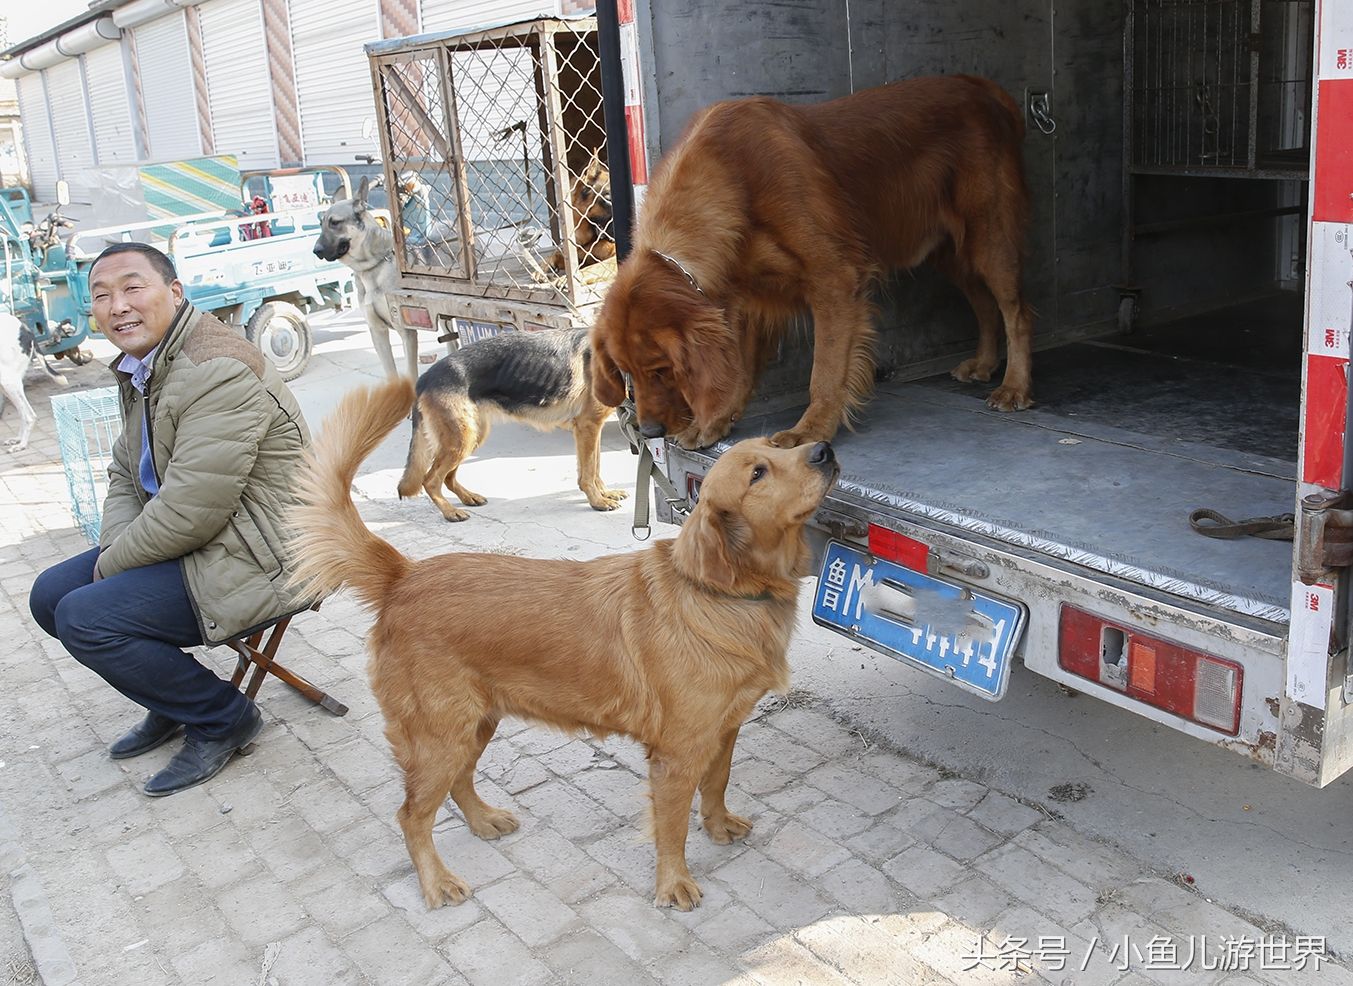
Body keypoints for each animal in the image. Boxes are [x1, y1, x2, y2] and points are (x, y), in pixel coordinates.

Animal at [311, 174, 416, 378]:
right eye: (321, 224)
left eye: (335, 222)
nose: (316, 251)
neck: (371, 268)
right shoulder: (377, 332)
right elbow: (391, 374)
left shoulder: (405, 332)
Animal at [392, 327, 622, 519]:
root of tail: (424, 378)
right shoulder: (587, 426)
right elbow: (589, 472)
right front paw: (597, 501)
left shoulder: (592, 428)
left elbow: (595, 467)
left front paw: (605, 493)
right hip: (461, 441)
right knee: (430, 480)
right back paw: (450, 512)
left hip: (470, 437)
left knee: (447, 477)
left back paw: (468, 497)